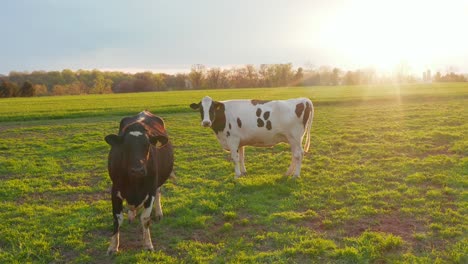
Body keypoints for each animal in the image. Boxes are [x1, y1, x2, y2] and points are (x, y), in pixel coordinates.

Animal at [104, 110, 174, 254]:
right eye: (125, 146)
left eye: (147, 145)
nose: (138, 170)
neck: (134, 183)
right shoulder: (115, 190)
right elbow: (117, 219)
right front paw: (113, 246)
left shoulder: (150, 190)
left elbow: (145, 219)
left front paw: (147, 244)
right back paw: (132, 214)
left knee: (159, 192)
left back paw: (158, 213)